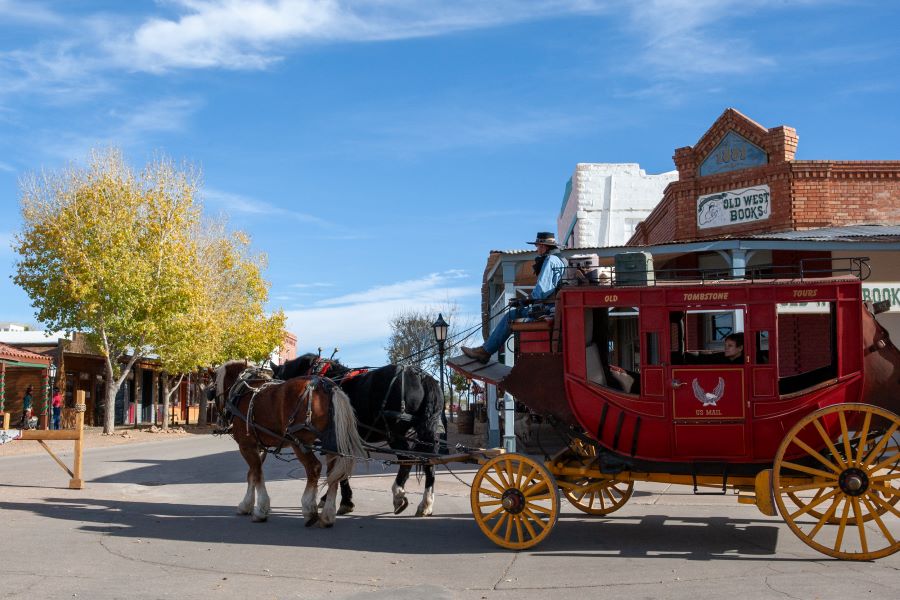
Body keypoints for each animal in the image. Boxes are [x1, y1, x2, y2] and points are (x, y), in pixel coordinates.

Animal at [213, 360, 364, 524]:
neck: (243, 391)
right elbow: (251, 474)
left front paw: (260, 510)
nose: (219, 421)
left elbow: (257, 473)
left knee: (314, 468)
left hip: (299, 441)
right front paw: (246, 504)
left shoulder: (246, 445)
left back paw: (309, 509)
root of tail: (329, 387)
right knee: (333, 473)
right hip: (329, 442)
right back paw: (328, 515)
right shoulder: (259, 446)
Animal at [272, 354, 444, 516]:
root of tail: (421, 375)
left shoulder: (336, 439)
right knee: (428, 462)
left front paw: (344, 501)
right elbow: (336, 470)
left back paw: (398, 494)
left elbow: (337, 470)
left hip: (395, 434)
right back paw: (426, 504)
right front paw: (332, 498)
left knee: (407, 459)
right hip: (423, 432)